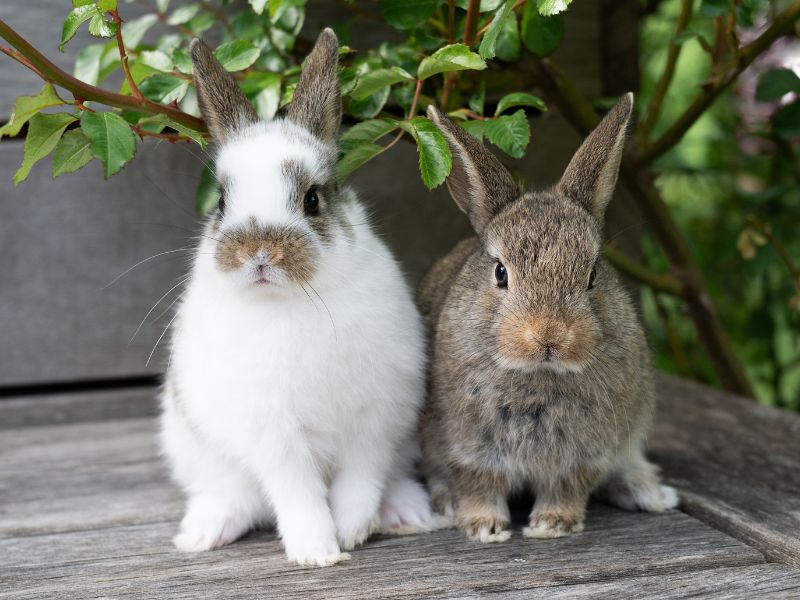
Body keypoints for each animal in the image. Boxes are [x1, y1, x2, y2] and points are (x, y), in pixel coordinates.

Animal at [160, 29, 438, 567]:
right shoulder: (273, 433)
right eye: (221, 202)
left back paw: (406, 514)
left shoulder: (374, 418)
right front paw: (317, 551)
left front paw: (351, 531)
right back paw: (203, 533)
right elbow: (297, 491)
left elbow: (360, 480)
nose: (258, 252)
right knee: (237, 497)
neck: (290, 303)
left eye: (312, 199)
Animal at [418, 94, 679, 543]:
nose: (549, 336)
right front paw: (484, 527)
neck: (538, 375)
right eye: (500, 272)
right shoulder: (465, 446)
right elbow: (478, 485)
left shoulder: (587, 454)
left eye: (592, 274)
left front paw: (552, 524)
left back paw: (648, 492)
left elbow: (568, 486)